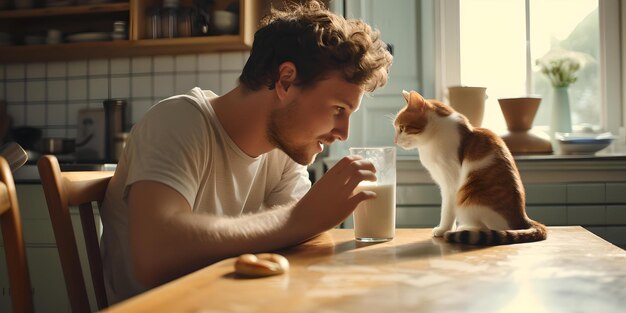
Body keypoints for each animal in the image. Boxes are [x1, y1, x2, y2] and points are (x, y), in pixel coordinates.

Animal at [392, 89, 544, 245]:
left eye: (402, 128)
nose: (395, 140)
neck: (432, 138)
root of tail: (522, 218)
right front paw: (449, 228)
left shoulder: (451, 184)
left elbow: (447, 210)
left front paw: (443, 229)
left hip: (470, 200)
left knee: (488, 228)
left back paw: (466, 230)